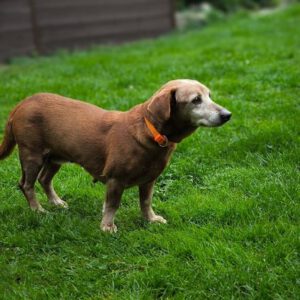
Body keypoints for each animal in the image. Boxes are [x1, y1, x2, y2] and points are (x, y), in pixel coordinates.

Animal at [0, 79, 232, 232]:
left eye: (209, 95)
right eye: (196, 100)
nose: (227, 115)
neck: (151, 132)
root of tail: (21, 104)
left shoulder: (149, 181)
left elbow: (145, 202)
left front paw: (150, 219)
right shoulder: (115, 180)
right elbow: (112, 205)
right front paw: (107, 226)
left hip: (56, 157)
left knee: (44, 179)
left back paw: (56, 202)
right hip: (32, 155)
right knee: (27, 185)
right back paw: (37, 210)